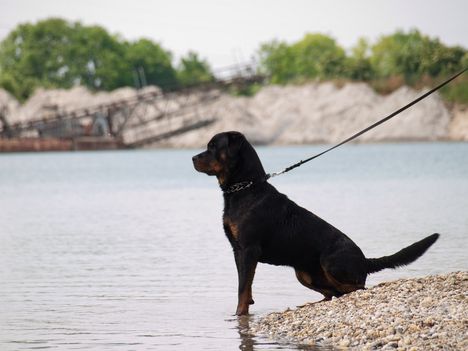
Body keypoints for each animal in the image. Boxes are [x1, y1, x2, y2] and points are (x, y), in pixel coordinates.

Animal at [191, 131, 438, 316]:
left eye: (213, 146)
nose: (193, 158)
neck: (245, 188)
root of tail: (365, 260)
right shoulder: (238, 251)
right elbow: (246, 284)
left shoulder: (248, 250)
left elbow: (242, 287)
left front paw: (239, 313)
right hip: (305, 274)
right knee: (334, 292)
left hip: (330, 262)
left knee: (355, 289)